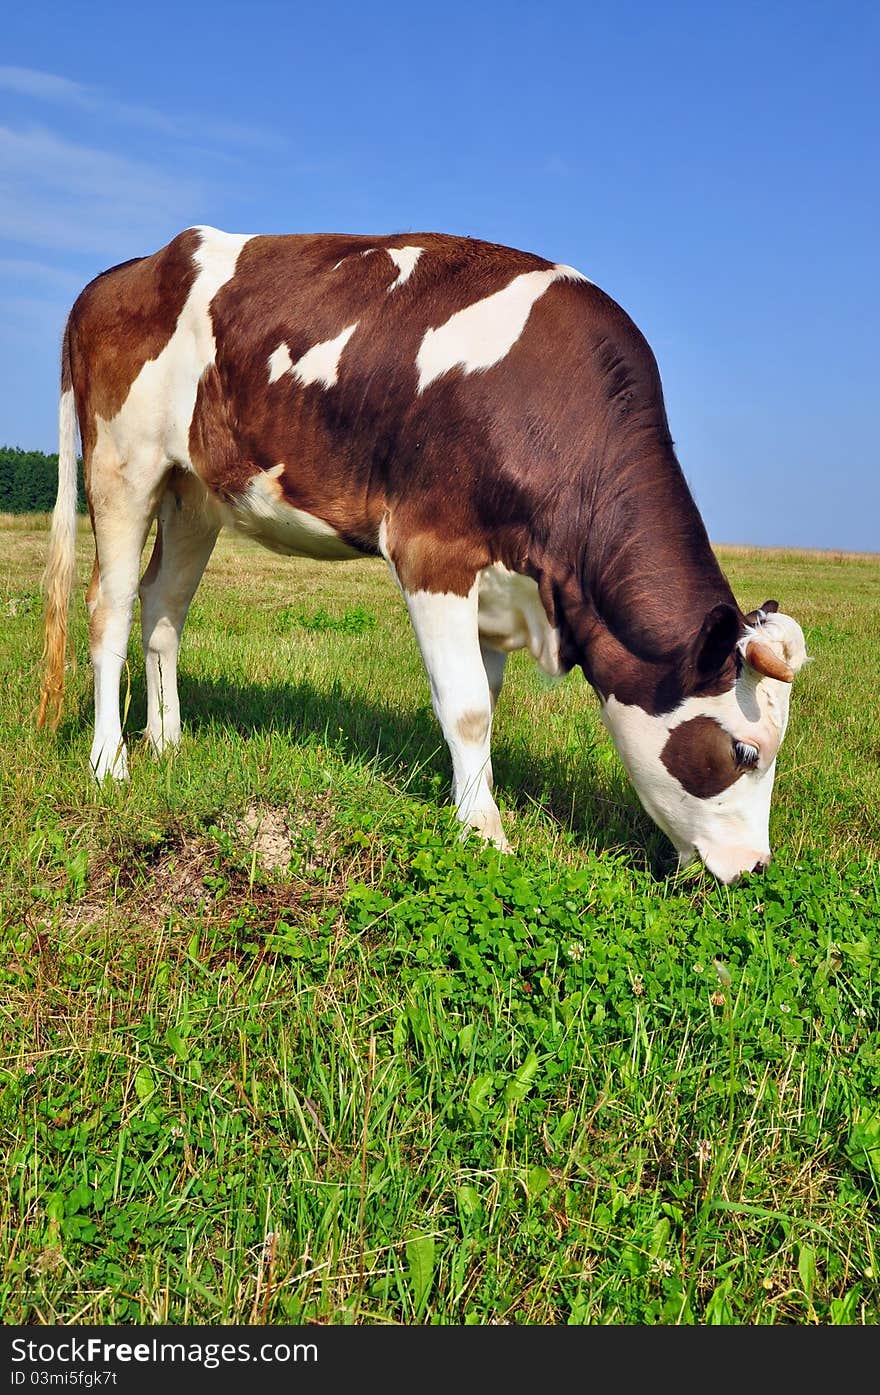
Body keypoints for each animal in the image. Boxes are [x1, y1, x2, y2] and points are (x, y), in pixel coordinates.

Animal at [37, 227, 808, 881]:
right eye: (745, 751)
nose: (755, 867)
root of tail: (132, 266)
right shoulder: (433, 549)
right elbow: (465, 706)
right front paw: (488, 834)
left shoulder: (499, 587)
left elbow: (481, 699)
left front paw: (466, 807)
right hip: (121, 465)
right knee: (108, 609)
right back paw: (110, 762)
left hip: (193, 490)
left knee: (163, 607)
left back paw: (167, 741)